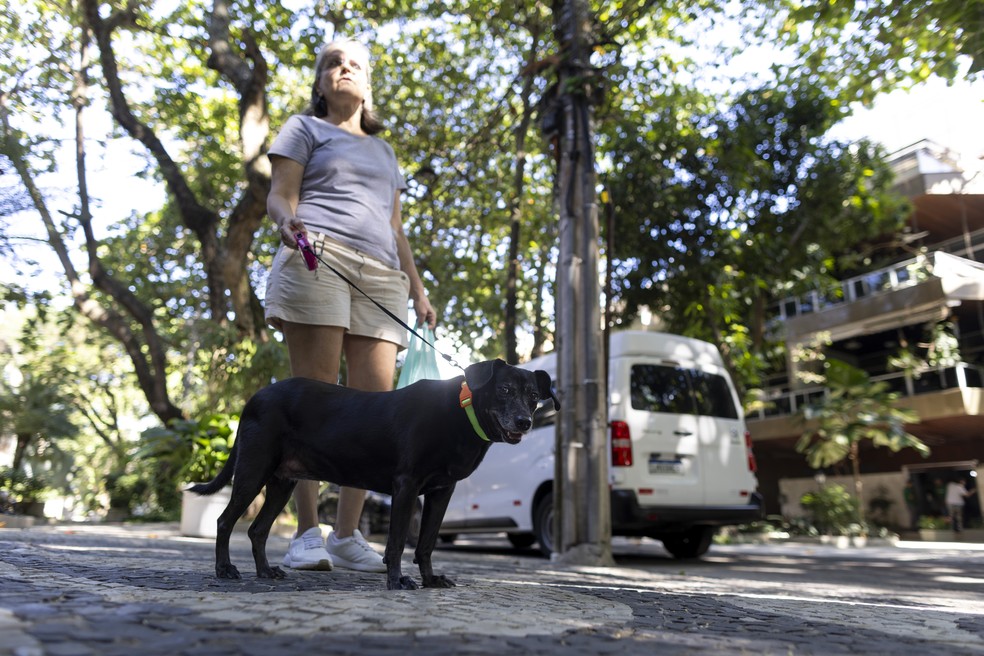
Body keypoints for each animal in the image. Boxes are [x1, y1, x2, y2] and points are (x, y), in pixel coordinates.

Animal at [189, 358, 556, 588]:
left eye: (534, 396)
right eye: (504, 389)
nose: (525, 422)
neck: (461, 412)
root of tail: (255, 398)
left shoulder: (441, 493)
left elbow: (426, 543)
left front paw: (430, 580)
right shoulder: (406, 486)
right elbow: (396, 543)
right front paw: (397, 580)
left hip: (283, 483)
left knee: (257, 531)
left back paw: (265, 571)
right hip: (254, 470)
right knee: (225, 521)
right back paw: (224, 569)